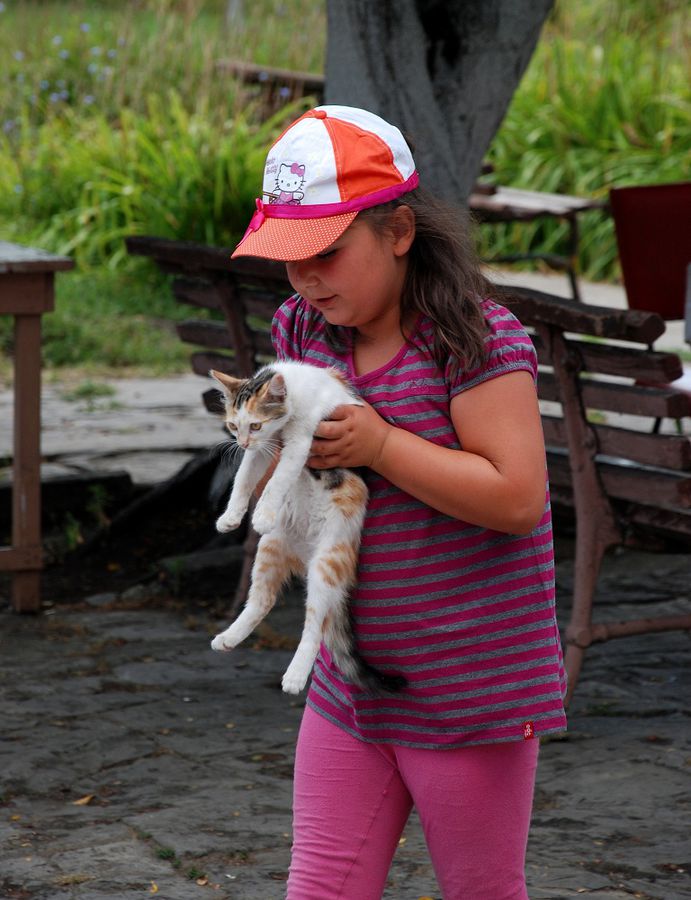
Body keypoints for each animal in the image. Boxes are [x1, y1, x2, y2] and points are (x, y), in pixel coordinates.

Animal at [211, 360, 406, 696]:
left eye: (256, 425)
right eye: (234, 426)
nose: (242, 442)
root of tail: (305, 553)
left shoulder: (300, 442)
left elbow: (277, 480)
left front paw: (262, 514)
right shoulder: (263, 449)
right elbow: (244, 479)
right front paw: (230, 517)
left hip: (328, 561)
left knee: (315, 627)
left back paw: (295, 676)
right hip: (270, 548)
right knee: (262, 600)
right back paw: (229, 637)